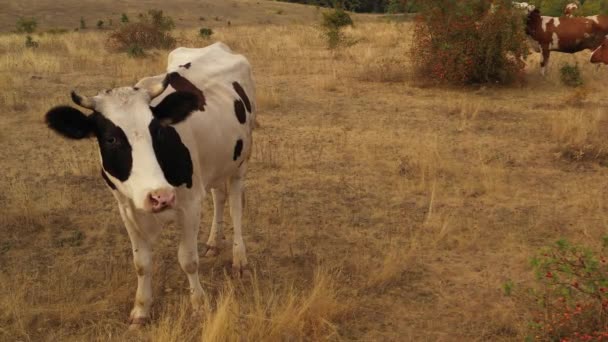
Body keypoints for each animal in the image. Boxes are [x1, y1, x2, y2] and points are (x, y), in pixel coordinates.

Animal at [43, 42, 256, 328]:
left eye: (157, 130)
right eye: (111, 139)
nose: (160, 197)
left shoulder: (189, 205)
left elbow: (188, 260)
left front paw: (199, 303)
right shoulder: (126, 208)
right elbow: (141, 263)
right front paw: (141, 309)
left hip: (240, 163)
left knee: (235, 205)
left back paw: (239, 257)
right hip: (216, 161)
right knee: (218, 195)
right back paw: (213, 242)